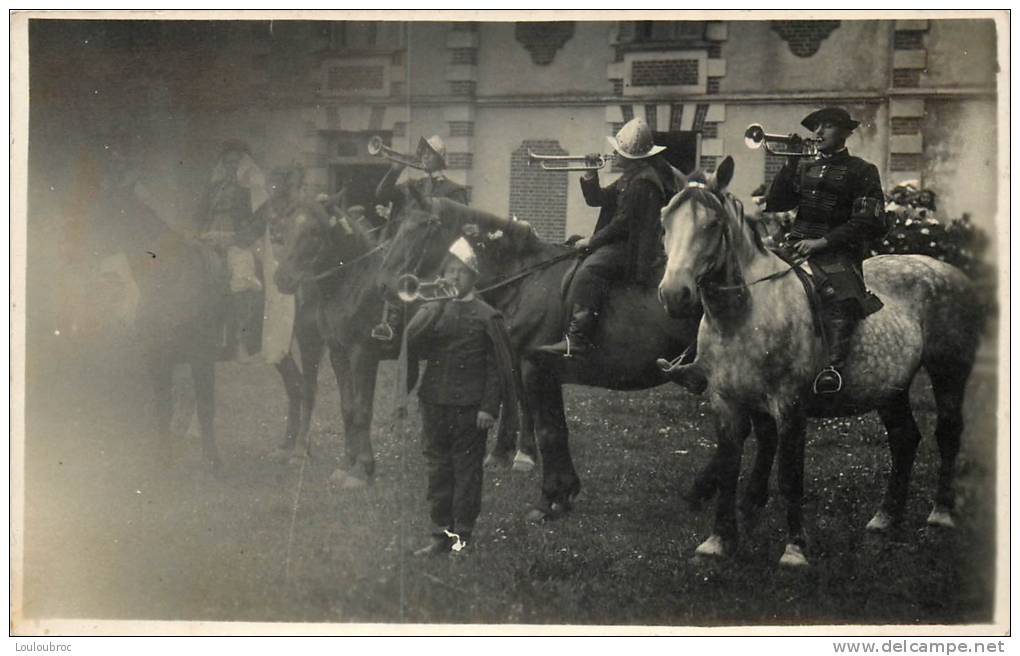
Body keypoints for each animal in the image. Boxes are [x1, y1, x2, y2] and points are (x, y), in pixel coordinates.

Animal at [375, 197, 709, 520]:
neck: (528, 279)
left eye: (422, 228)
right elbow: (548, 423)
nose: (385, 284)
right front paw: (561, 489)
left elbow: (549, 431)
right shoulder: (531, 368)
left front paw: (549, 496)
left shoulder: (534, 369)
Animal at [656, 156, 983, 567]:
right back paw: (886, 517)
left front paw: (795, 548)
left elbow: (790, 475)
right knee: (904, 438)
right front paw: (718, 540)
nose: (674, 295)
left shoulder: (790, 407)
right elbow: (730, 468)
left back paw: (941, 512)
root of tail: (951, 272)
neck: (745, 313)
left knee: (948, 433)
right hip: (891, 388)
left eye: (712, 223)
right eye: (665, 219)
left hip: (948, 372)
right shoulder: (727, 403)